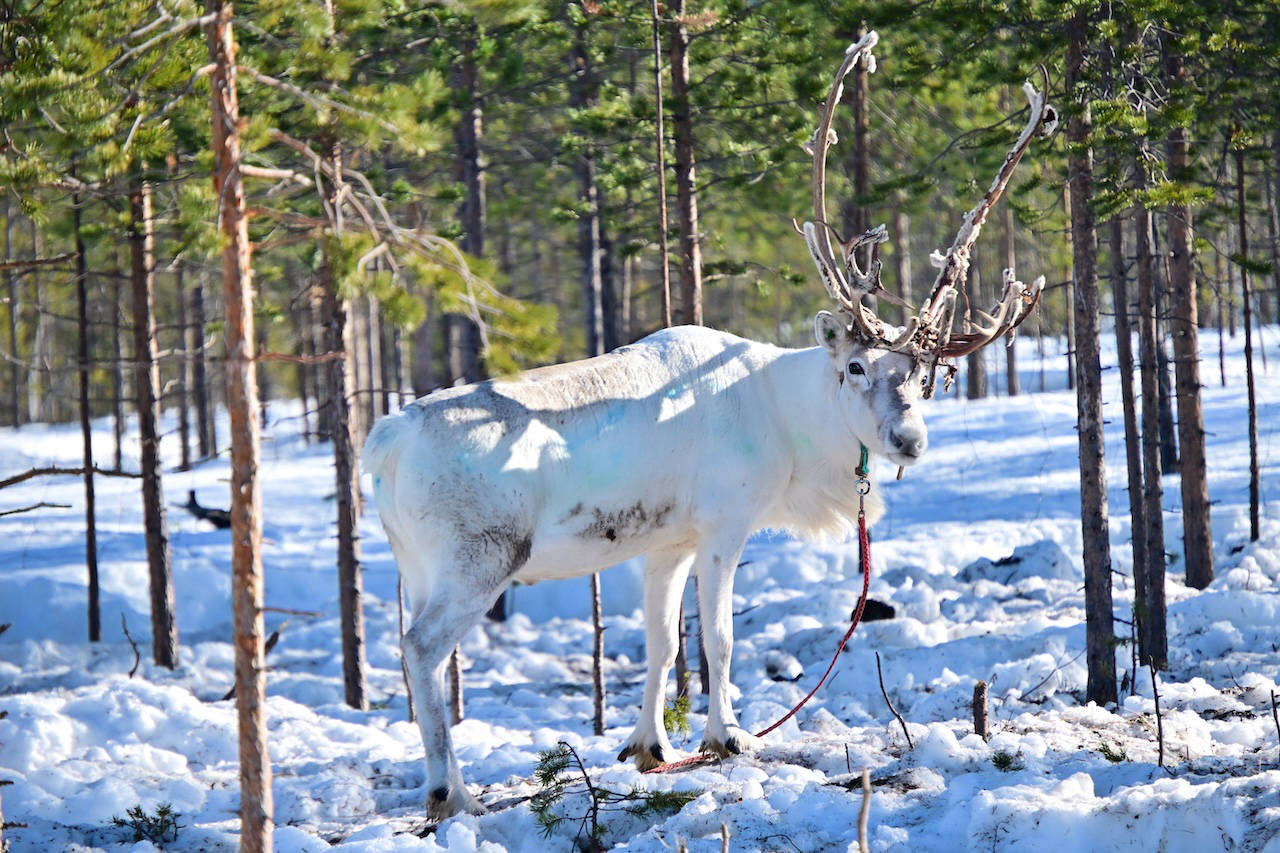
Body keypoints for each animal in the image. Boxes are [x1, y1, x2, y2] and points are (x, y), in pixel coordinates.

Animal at [363, 32, 1055, 821]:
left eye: (924, 373)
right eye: (855, 366)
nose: (909, 440)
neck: (785, 418)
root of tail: (385, 442)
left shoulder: (666, 542)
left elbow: (662, 644)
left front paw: (649, 746)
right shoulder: (726, 524)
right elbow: (718, 639)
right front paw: (730, 736)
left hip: (416, 563)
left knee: (411, 645)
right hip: (481, 558)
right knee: (421, 647)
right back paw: (451, 791)